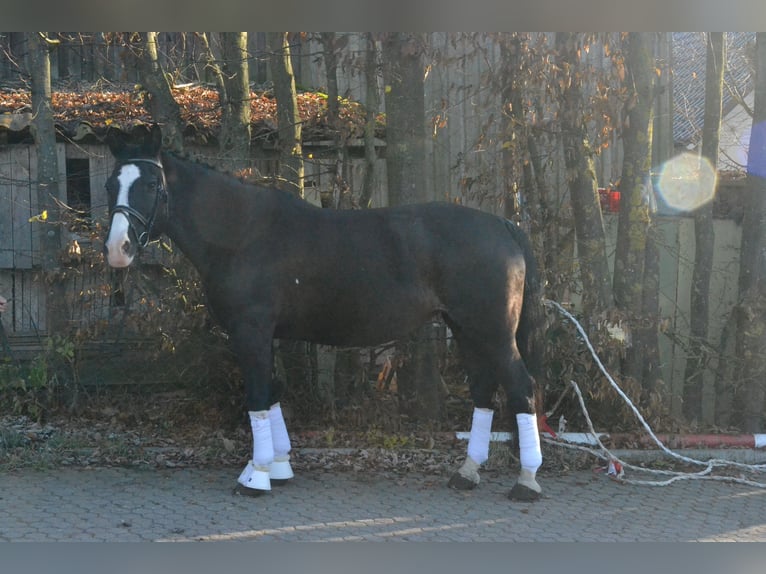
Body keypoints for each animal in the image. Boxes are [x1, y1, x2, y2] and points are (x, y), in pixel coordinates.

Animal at [106, 125, 544, 500]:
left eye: (150, 184)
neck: (242, 234)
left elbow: (256, 396)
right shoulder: (267, 335)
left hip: (493, 332)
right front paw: (278, 468)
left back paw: (526, 481)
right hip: (467, 329)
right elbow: (273, 391)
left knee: (522, 388)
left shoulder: (250, 331)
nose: (117, 249)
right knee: (484, 389)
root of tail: (503, 225)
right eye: (112, 184)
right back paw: (467, 473)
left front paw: (255, 476)